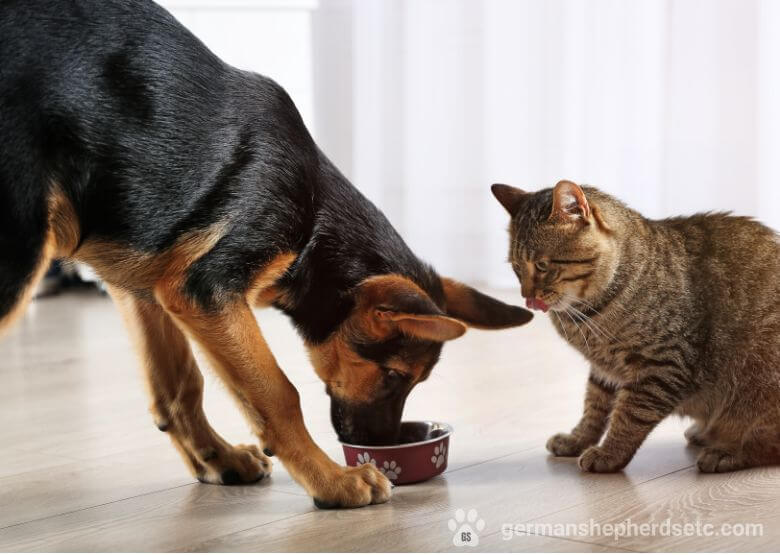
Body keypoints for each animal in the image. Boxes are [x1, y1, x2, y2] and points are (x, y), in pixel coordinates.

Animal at [0, 0, 532, 508]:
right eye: (394, 375)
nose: (383, 447)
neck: (314, 221)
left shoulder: (144, 285)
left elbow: (180, 388)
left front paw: (217, 459)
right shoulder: (205, 290)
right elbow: (279, 394)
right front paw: (333, 480)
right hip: (18, 261)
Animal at [494, 181, 780, 474]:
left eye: (542, 265)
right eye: (516, 268)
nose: (527, 297)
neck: (586, 315)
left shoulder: (662, 365)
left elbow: (630, 416)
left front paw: (609, 453)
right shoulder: (604, 371)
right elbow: (593, 409)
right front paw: (577, 440)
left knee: (766, 445)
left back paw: (726, 452)